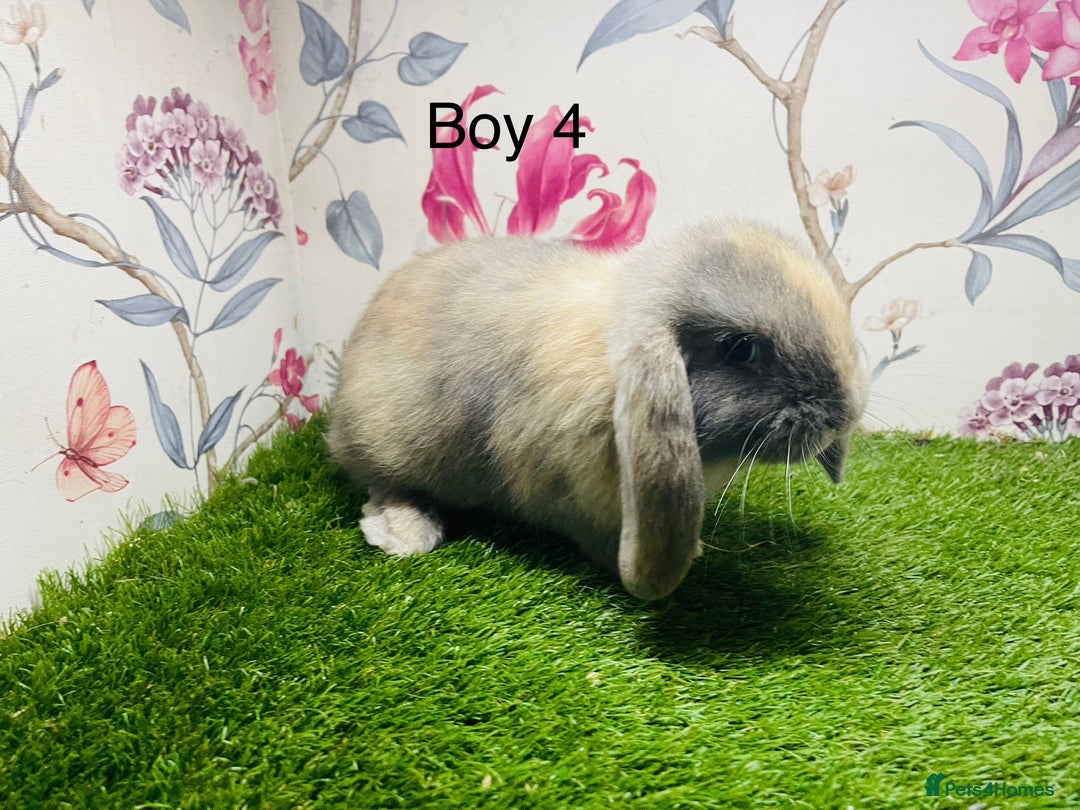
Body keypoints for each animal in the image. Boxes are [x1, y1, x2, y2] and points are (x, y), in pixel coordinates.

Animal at [327, 220, 868, 600]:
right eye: (740, 348)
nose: (841, 416)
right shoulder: (568, 490)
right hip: (389, 438)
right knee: (382, 481)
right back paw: (403, 532)